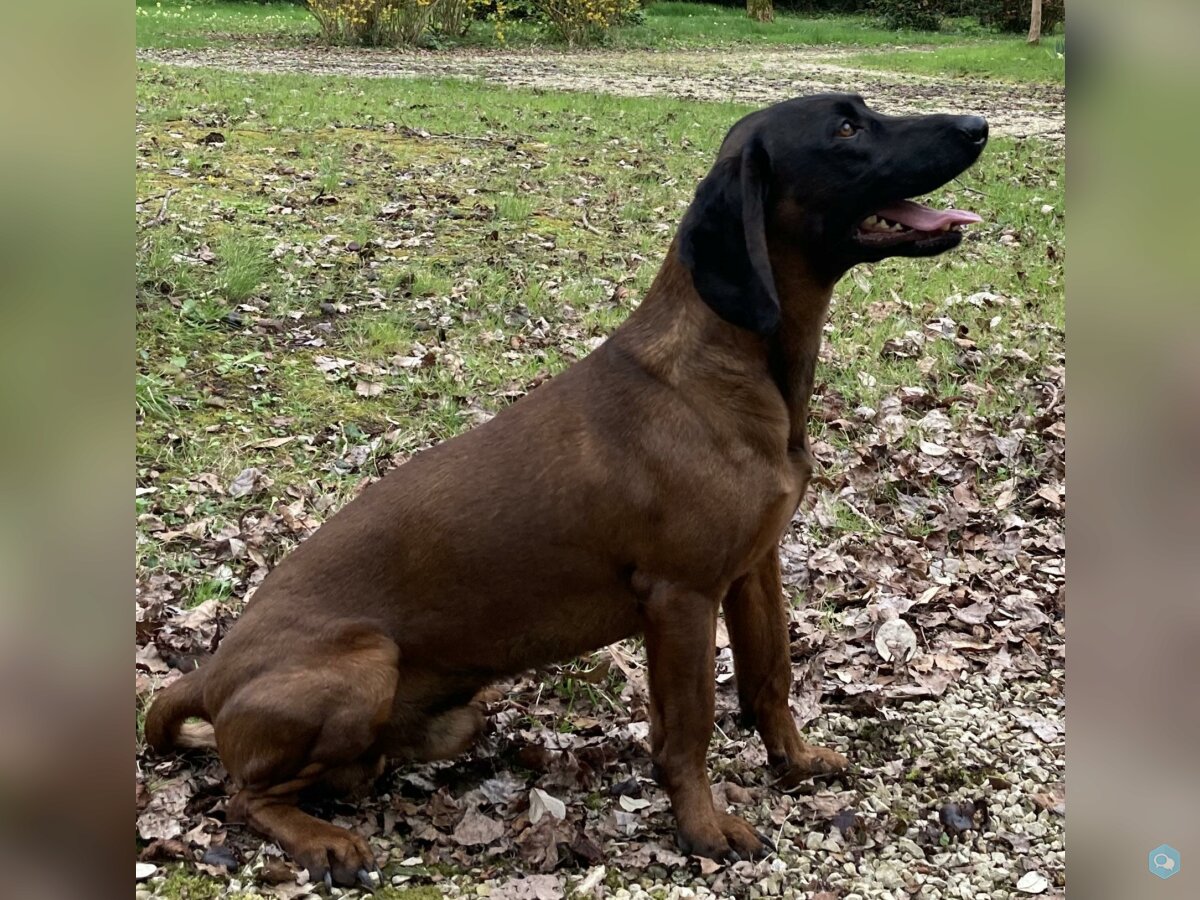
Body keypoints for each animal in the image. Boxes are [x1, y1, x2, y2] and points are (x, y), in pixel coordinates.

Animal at [147, 93, 984, 888]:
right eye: (846, 129)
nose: (978, 126)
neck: (730, 366)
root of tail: (209, 672)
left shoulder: (754, 568)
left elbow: (769, 679)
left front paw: (796, 763)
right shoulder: (681, 597)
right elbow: (689, 731)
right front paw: (704, 829)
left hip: (451, 710)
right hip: (362, 667)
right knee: (245, 795)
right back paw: (323, 839)